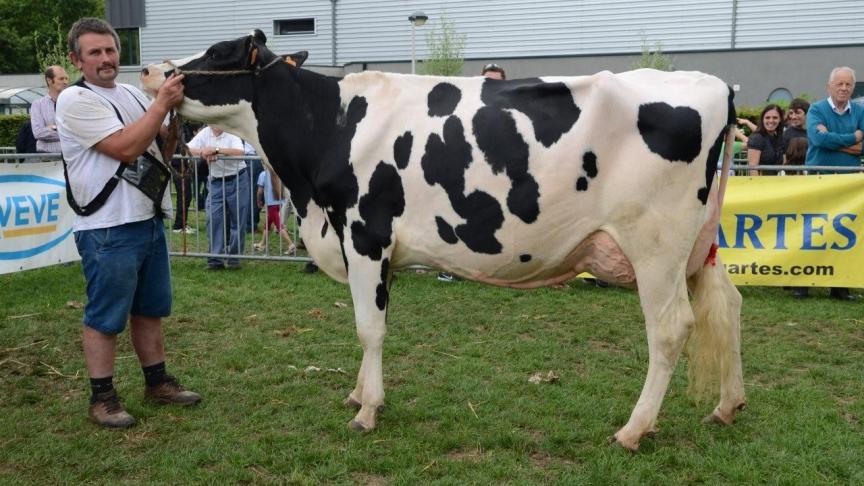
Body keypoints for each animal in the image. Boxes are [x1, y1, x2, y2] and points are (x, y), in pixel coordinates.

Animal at [142, 28, 744, 450]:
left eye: (218, 52)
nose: (150, 69)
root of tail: (714, 84)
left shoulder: (365, 233)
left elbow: (369, 328)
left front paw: (367, 411)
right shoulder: (368, 247)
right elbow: (373, 324)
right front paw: (360, 393)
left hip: (656, 244)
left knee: (671, 328)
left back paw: (633, 430)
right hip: (699, 246)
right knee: (729, 305)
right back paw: (726, 406)